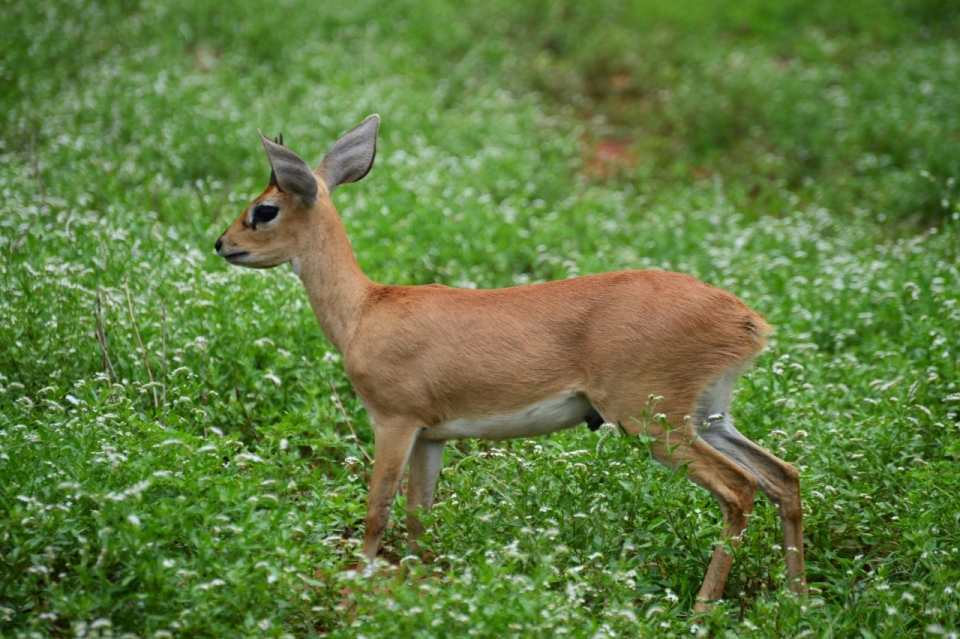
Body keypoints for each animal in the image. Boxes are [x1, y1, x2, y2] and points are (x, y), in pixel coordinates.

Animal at [214, 114, 808, 608]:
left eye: (264, 210)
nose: (222, 243)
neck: (365, 310)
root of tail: (746, 321)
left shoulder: (394, 420)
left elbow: (377, 511)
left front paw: (354, 594)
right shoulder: (432, 435)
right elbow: (419, 516)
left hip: (655, 422)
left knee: (740, 488)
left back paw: (703, 608)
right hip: (708, 415)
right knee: (783, 475)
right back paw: (798, 599)